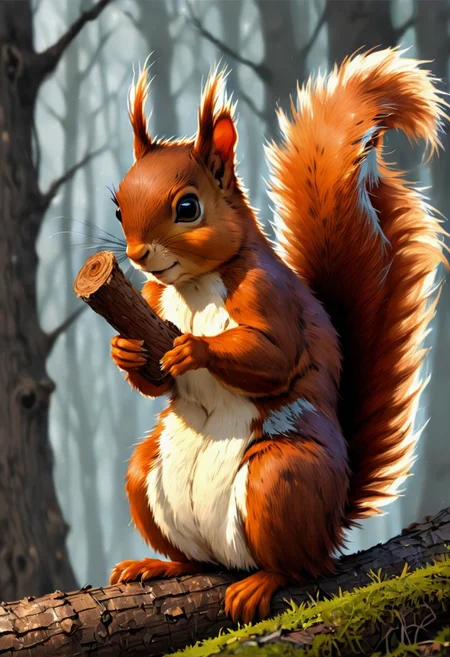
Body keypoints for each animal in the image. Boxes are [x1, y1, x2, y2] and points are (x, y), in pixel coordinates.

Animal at [108, 48, 448, 624]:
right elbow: (152, 380)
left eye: (187, 207)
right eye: (117, 208)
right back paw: (158, 566)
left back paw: (262, 581)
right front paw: (125, 349)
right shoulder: (152, 300)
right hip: (143, 475)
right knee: (197, 559)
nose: (136, 254)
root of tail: (333, 525)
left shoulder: (270, 293)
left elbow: (273, 356)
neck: (194, 285)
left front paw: (194, 348)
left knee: (301, 566)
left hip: (281, 480)